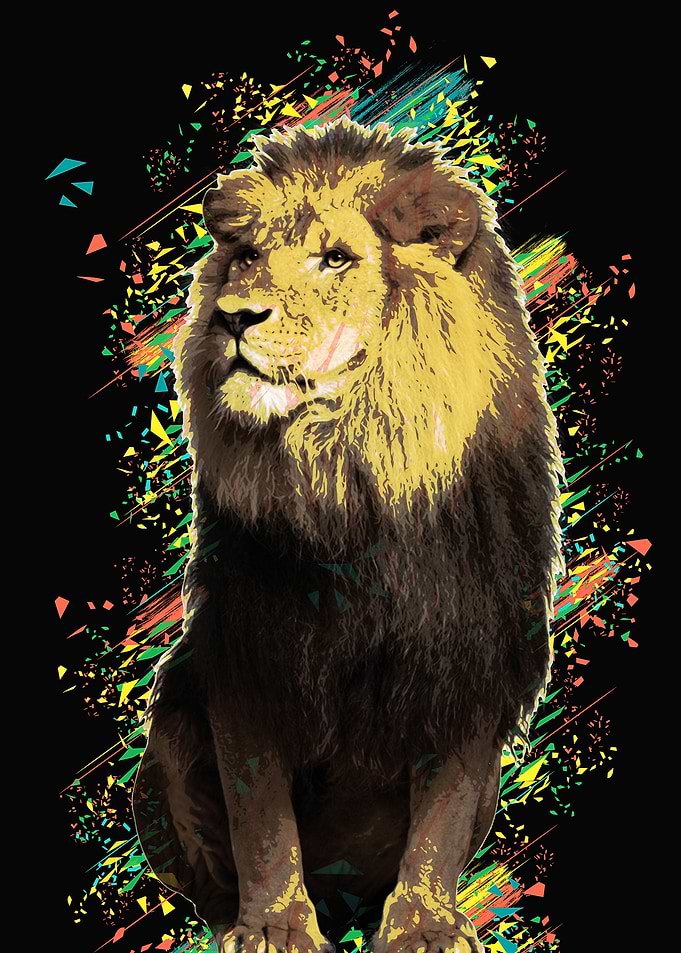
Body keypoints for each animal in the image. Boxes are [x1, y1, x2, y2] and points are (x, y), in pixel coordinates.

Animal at [132, 118, 564, 953]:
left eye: (334, 258)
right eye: (246, 255)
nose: (233, 314)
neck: (353, 480)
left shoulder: (469, 658)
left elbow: (441, 813)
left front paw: (424, 924)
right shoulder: (251, 655)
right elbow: (262, 820)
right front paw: (272, 928)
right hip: (167, 740)